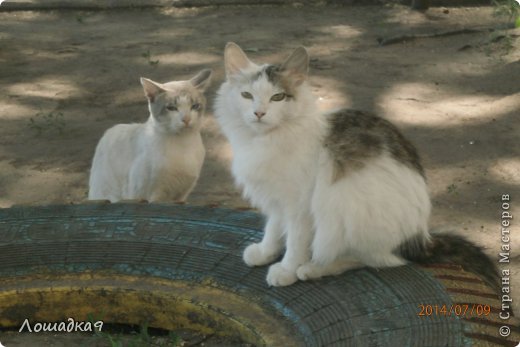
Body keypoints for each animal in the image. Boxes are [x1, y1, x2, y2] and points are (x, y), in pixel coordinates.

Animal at [89, 69, 211, 203]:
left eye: (195, 106)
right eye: (171, 108)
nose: (186, 119)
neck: (183, 143)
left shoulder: (182, 195)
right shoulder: (152, 196)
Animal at [214, 42, 500, 290]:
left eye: (278, 97)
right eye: (246, 95)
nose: (259, 113)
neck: (264, 140)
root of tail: (420, 237)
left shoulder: (300, 205)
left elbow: (295, 241)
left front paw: (286, 269)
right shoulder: (277, 200)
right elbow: (273, 228)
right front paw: (266, 252)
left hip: (345, 207)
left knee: (375, 260)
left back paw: (313, 268)